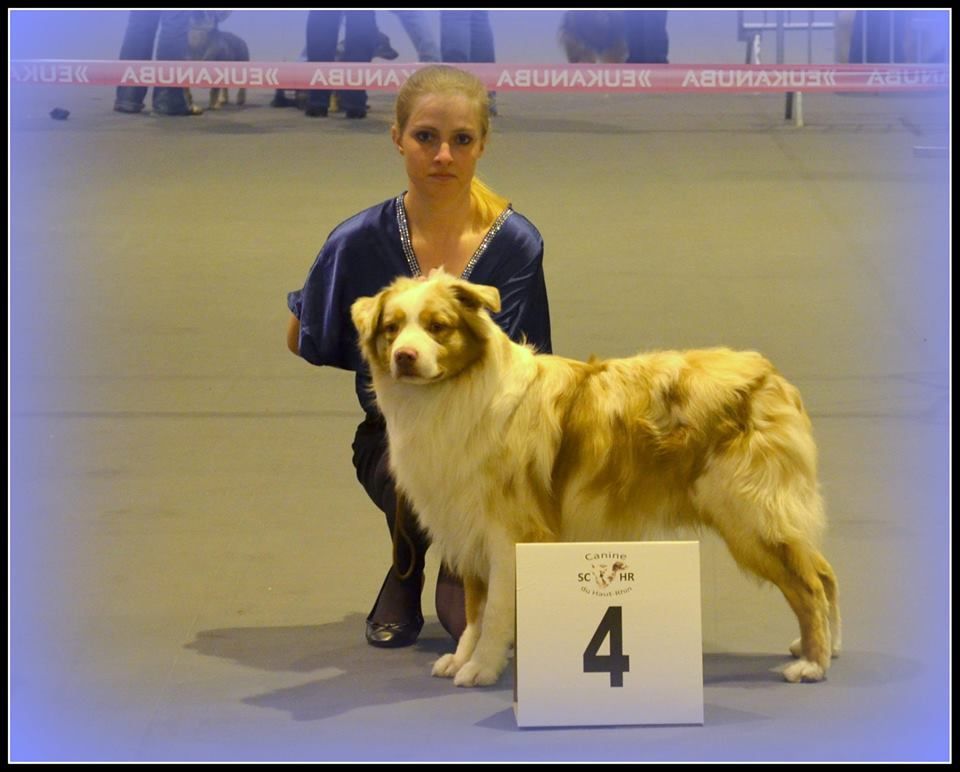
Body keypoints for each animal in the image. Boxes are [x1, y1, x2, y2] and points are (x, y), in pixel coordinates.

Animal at [351, 270, 841, 687]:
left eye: (438, 326)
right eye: (392, 328)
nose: (405, 357)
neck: (455, 394)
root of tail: (772, 377)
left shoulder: (509, 531)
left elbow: (496, 612)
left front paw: (482, 668)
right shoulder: (465, 526)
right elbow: (474, 610)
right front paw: (462, 658)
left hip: (750, 516)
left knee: (809, 585)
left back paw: (812, 664)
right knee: (825, 572)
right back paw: (825, 647)